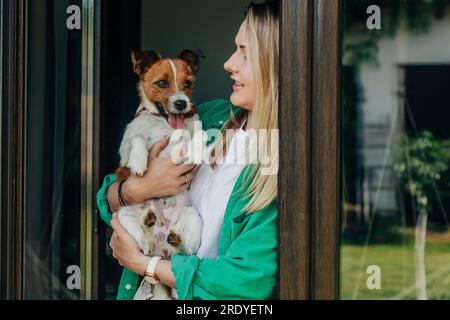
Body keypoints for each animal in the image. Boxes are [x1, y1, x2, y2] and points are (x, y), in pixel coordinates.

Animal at [118, 50, 206, 300]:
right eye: (161, 83)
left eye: (187, 84)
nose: (181, 103)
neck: (164, 123)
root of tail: (161, 250)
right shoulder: (123, 154)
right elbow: (136, 139)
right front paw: (139, 161)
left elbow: (201, 133)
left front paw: (195, 149)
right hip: (123, 217)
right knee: (143, 246)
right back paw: (148, 229)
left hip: (191, 218)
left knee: (185, 253)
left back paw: (176, 241)